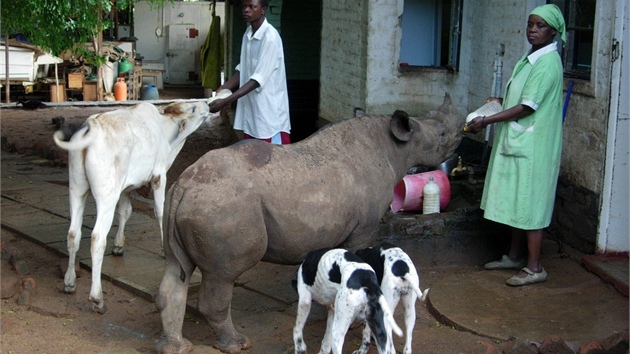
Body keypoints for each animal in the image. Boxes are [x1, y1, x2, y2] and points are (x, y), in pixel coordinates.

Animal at [54, 99, 212, 312]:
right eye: (193, 108)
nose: (206, 103)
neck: (165, 130)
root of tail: (90, 126)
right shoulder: (159, 175)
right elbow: (160, 211)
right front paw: (164, 248)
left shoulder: (126, 188)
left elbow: (125, 212)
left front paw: (119, 246)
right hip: (106, 196)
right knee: (97, 238)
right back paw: (97, 298)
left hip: (76, 188)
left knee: (73, 234)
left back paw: (69, 282)